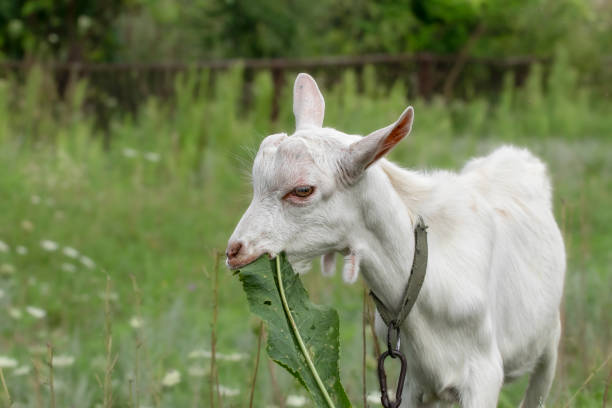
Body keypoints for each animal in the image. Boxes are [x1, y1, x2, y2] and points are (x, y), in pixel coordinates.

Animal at [227, 73, 568, 408]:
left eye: (302, 190)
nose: (235, 251)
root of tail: (515, 154)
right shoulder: (412, 381)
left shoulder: (483, 376)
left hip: (549, 341)